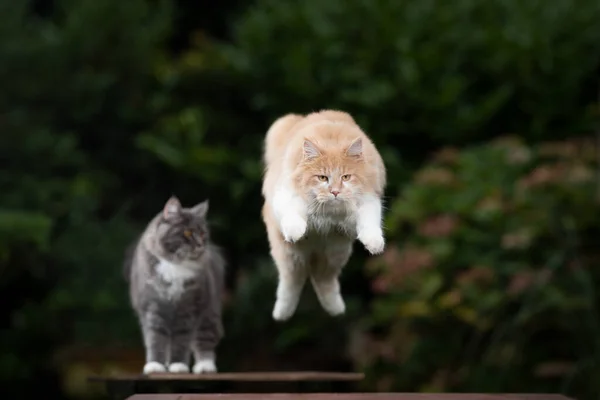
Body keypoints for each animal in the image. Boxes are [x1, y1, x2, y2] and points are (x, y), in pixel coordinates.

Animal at [124, 197, 225, 376]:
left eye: (202, 233)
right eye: (187, 233)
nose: (200, 244)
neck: (175, 265)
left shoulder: (188, 308)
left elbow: (181, 340)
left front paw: (178, 366)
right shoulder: (153, 307)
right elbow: (156, 339)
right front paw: (155, 365)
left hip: (209, 310)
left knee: (205, 337)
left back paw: (205, 366)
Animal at [260, 110, 386, 322]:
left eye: (346, 177)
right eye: (322, 178)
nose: (335, 192)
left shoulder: (368, 201)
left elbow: (370, 224)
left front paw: (374, 245)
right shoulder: (285, 195)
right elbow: (292, 215)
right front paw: (296, 232)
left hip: (335, 253)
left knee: (323, 280)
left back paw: (336, 310)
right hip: (290, 256)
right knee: (290, 283)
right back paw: (281, 314)